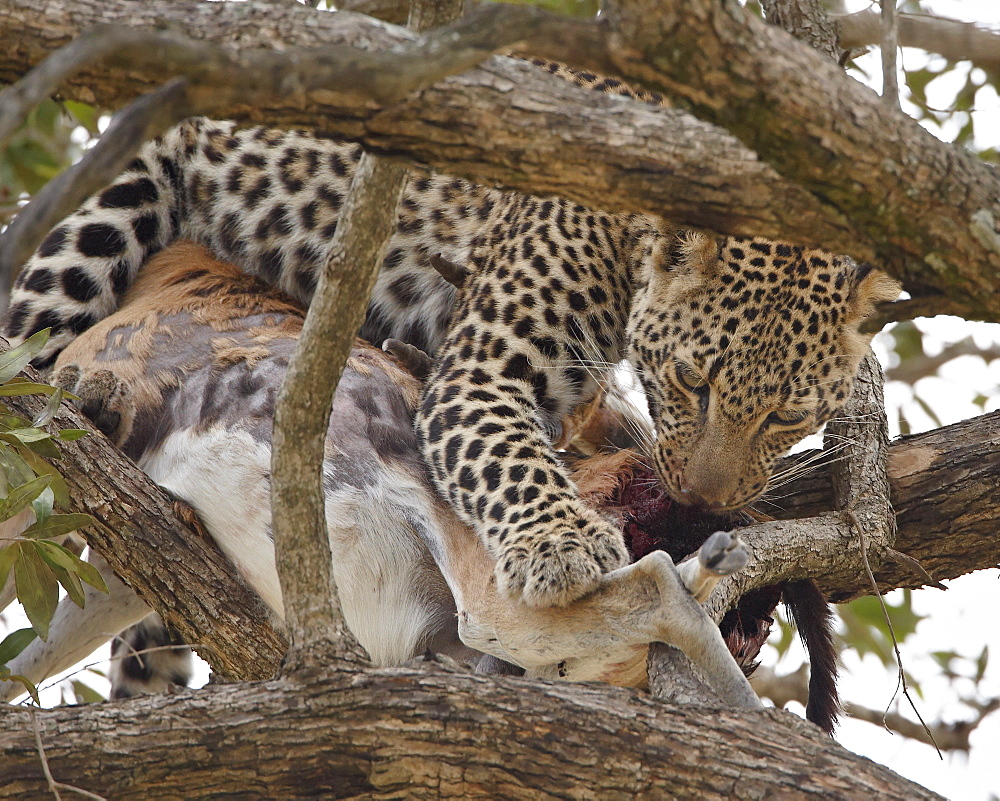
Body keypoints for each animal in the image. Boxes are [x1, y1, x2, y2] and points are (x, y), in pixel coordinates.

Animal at [0, 61, 904, 608]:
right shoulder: (487, 368)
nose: (704, 502)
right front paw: (560, 543)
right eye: (691, 380)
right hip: (103, 216)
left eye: (788, 416)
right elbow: (510, 459)